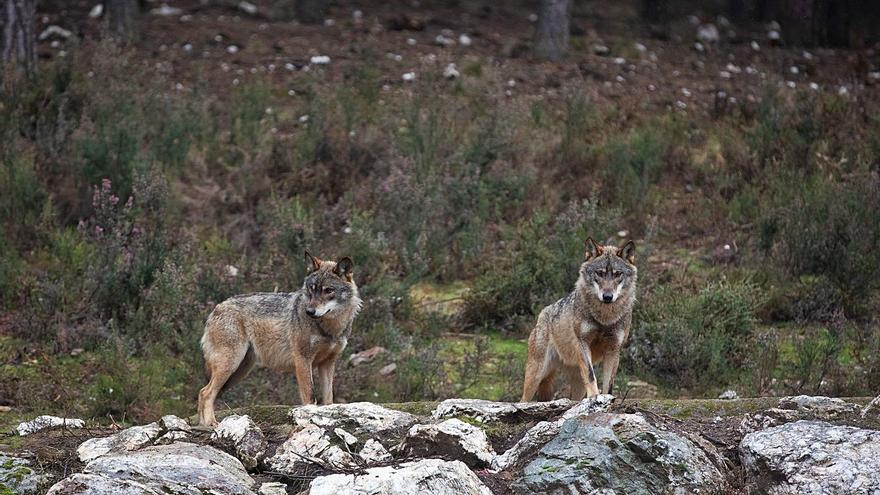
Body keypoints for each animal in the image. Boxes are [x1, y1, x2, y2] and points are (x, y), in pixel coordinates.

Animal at [198, 252, 362, 426]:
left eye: (328, 290)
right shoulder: (302, 359)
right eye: (312, 289)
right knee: (206, 392)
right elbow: (310, 396)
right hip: (230, 365)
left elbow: (329, 399)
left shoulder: (328, 363)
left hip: (239, 371)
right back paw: (210, 423)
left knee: (202, 392)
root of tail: (216, 308)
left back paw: (202, 423)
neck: (330, 328)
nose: (309, 311)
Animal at [520, 237, 636, 404]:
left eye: (617, 274)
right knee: (523, 399)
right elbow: (591, 375)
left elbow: (609, 384)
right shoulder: (583, 342)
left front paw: (607, 399)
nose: (607, 297)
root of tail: (543, 313)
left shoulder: (613, 350)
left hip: (576, 382)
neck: (604, 318)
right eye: (599, 273)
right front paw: (594, 397)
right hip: (536, 375)